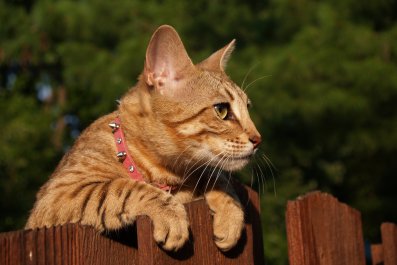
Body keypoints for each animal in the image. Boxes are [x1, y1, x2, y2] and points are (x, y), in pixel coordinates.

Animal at [24, 24, 260, 252]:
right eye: (222, 110)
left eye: (248, 108)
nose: (258, 139)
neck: (168, 175)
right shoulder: (56, 197)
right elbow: (121, 188)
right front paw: (171, 214)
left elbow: (216, 175)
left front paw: (230, 213)